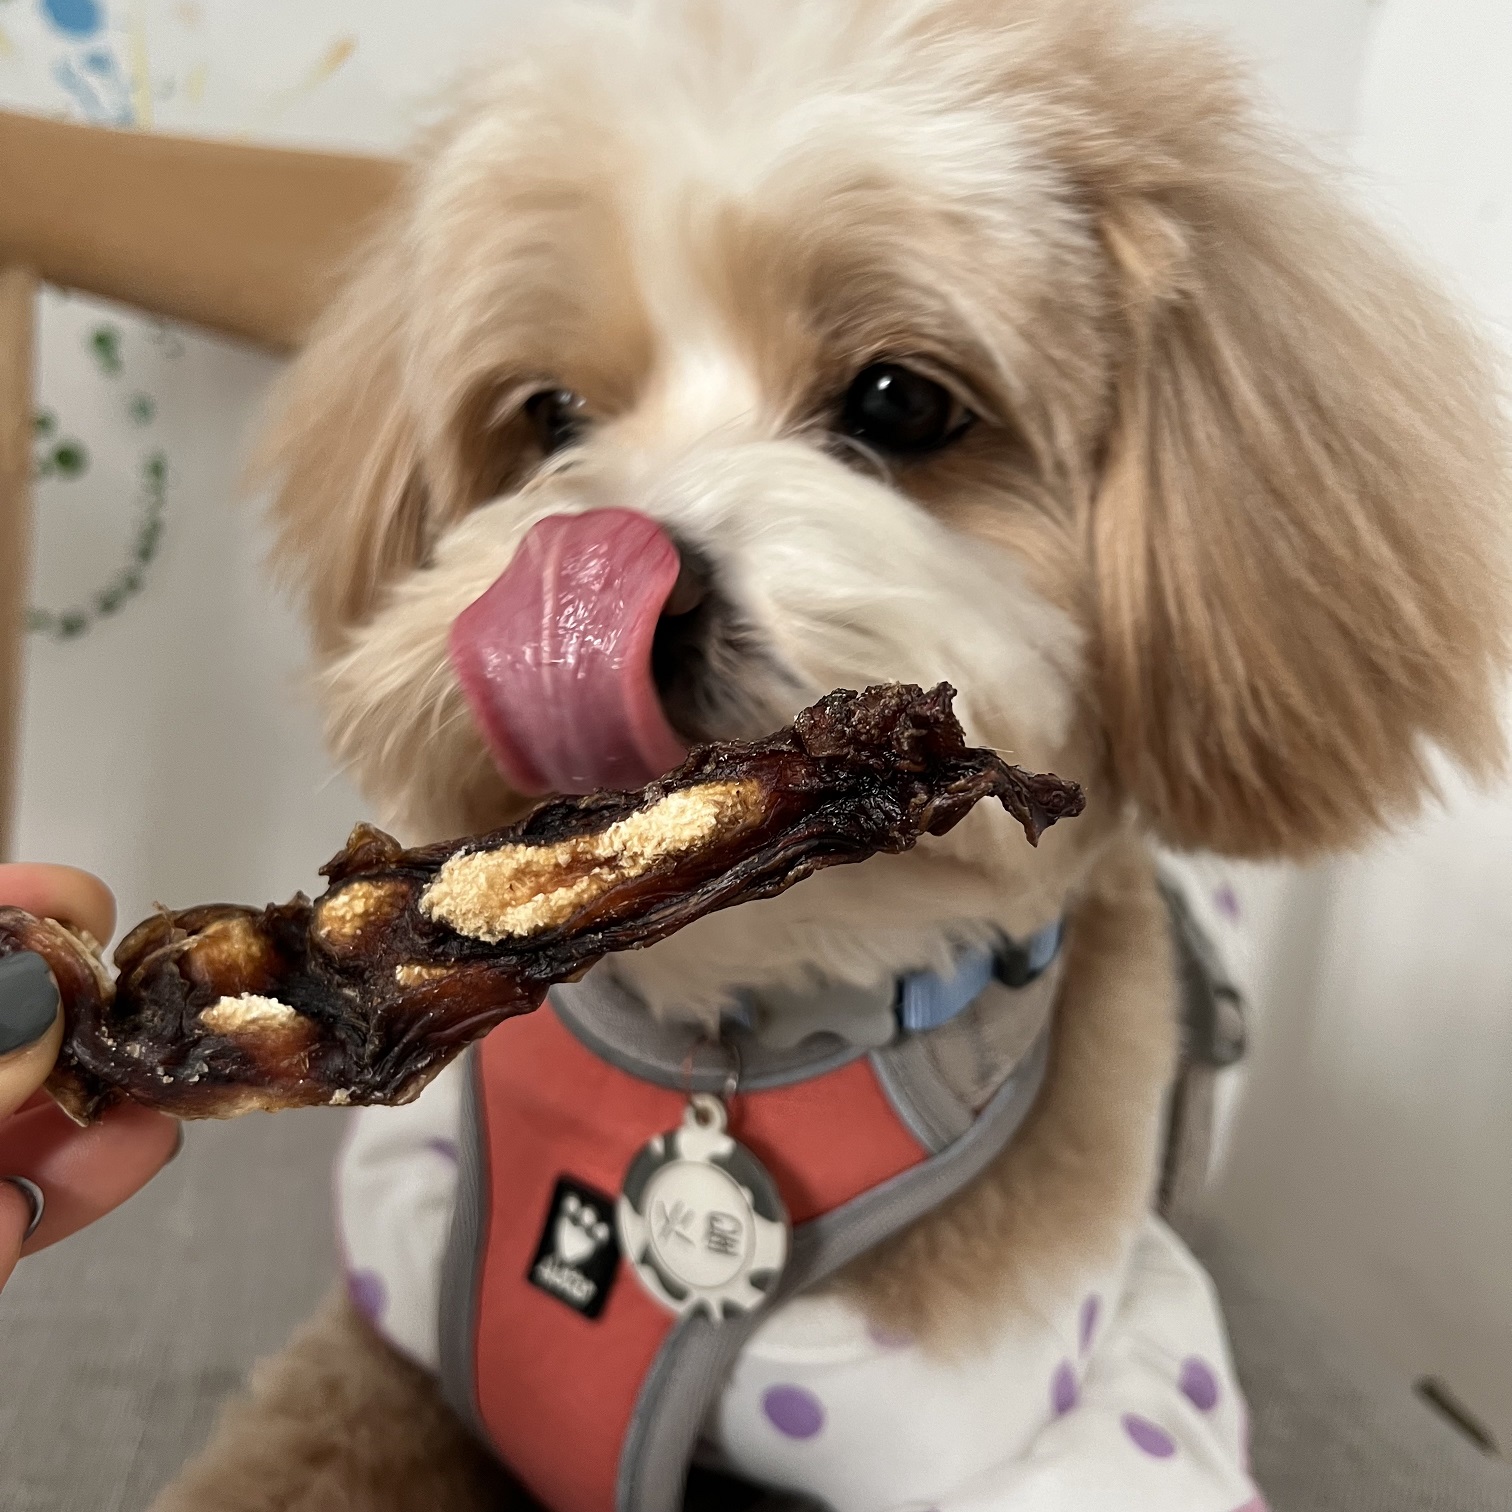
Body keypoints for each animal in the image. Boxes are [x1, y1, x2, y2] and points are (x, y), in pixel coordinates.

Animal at [150, 2, 1499, 1512]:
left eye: (902, 403)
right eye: (548, 415)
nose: (584, 583)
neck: (737, 1030)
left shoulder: (1047, 1424)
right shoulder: (394, 1326)